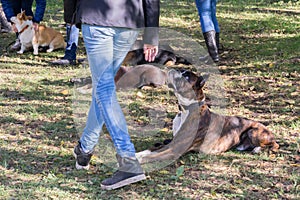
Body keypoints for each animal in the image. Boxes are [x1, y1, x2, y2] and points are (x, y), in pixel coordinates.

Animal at [137, 69, 280, 163]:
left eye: (186, 76)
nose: (174, 69)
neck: (186, 110)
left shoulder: (175, 149)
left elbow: (151, 156)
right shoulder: (172, 143)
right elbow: (150, 150)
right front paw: (136, 155)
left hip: (253, 131)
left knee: (275, 145)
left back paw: (257, 149)